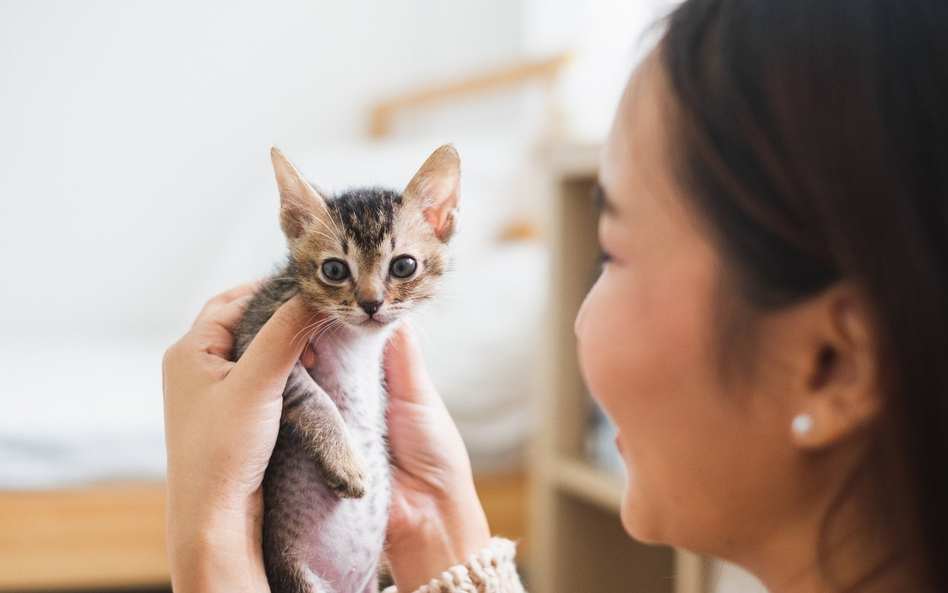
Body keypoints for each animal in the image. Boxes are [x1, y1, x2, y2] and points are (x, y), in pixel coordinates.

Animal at [233, 145, 462, 592]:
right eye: (335, 270)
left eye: (403, 266)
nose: (371, 303)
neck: (356, 341)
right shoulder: (254, 338)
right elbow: (312, 396)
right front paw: (346, 463)